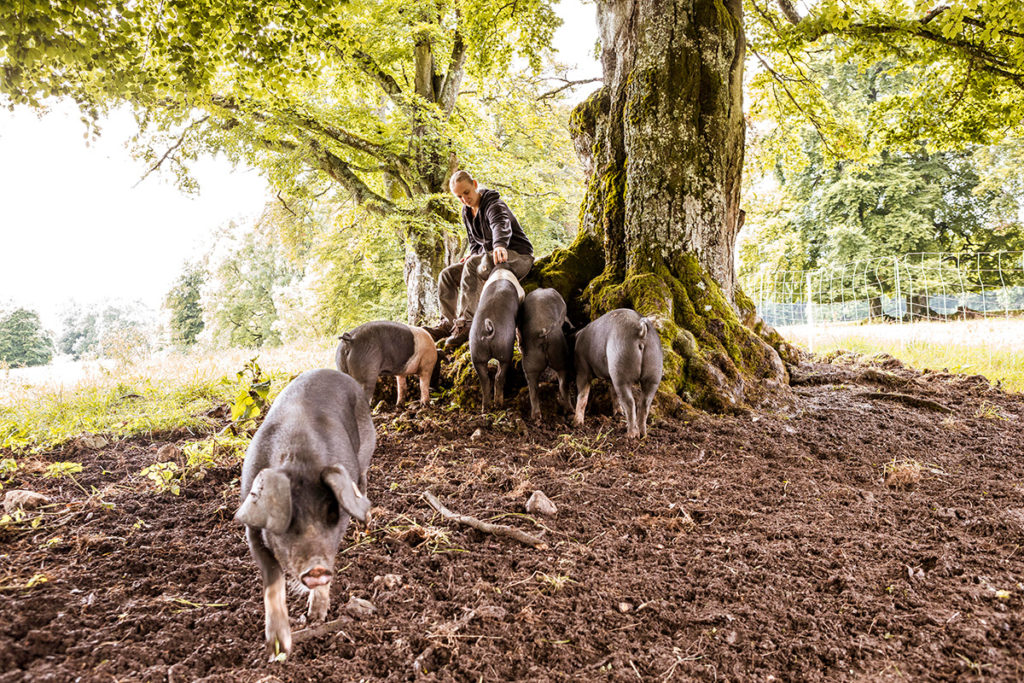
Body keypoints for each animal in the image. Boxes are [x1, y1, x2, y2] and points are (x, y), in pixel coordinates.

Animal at [234, 370, 374, 659]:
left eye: (332, 514)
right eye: (288, 520)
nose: (317, 568)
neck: (299, 459)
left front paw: (316, 618)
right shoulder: (252, 530)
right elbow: (273, 582)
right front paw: (278, 650)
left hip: (366, 450)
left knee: (363, 481)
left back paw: (365, 526)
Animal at [468, 270, 524, 413]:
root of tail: (488, 329)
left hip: (477, 352)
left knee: (485, 380)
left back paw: (485, 408)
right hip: (505, 348)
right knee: (499, 376)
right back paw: (499, 405)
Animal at [520, 286, 577, 419]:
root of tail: (543, 331)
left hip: (532, 364)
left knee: (534, 389)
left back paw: (536, 416)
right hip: (559, 356)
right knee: (562, 385)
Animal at [569, 309, 663, 438]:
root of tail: (640, 330)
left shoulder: (583, 369)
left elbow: (583, 395)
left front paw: (576, 424)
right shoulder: (611, 376)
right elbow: (612, 391)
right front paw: (617, 413)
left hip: (621, 365)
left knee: (630, 402)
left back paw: (630, 434)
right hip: (654, 371)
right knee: (644, 403)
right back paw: (642, 434)